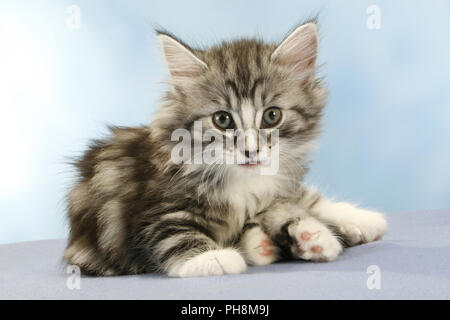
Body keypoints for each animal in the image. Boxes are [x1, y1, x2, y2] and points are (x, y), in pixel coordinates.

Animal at [63, 21, 386, 278]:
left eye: (272, 116)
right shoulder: (153, 210)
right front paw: (213, 257)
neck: (242, 181)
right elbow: (174, 233)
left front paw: (346, 223)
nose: (251, 151)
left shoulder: (280, 186)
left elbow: (303, 198)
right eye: (222, 120)